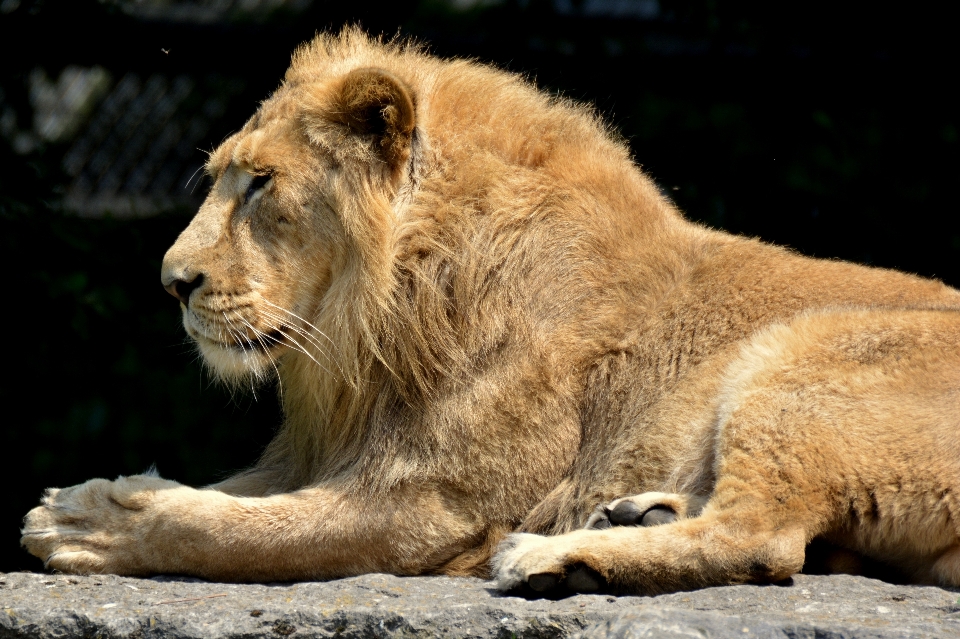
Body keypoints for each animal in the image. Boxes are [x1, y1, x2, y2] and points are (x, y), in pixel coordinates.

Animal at [20, 25, 960, 596]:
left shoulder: (434, 503)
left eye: (260, 184)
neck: (374, 334)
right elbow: (225, 495)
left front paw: (85, 519)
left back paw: (551, 555)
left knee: (760, 538)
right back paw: (634, 514)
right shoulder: (325, 455)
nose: (172, 281)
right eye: (221, 175)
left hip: (802, 352)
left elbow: (235, 529)